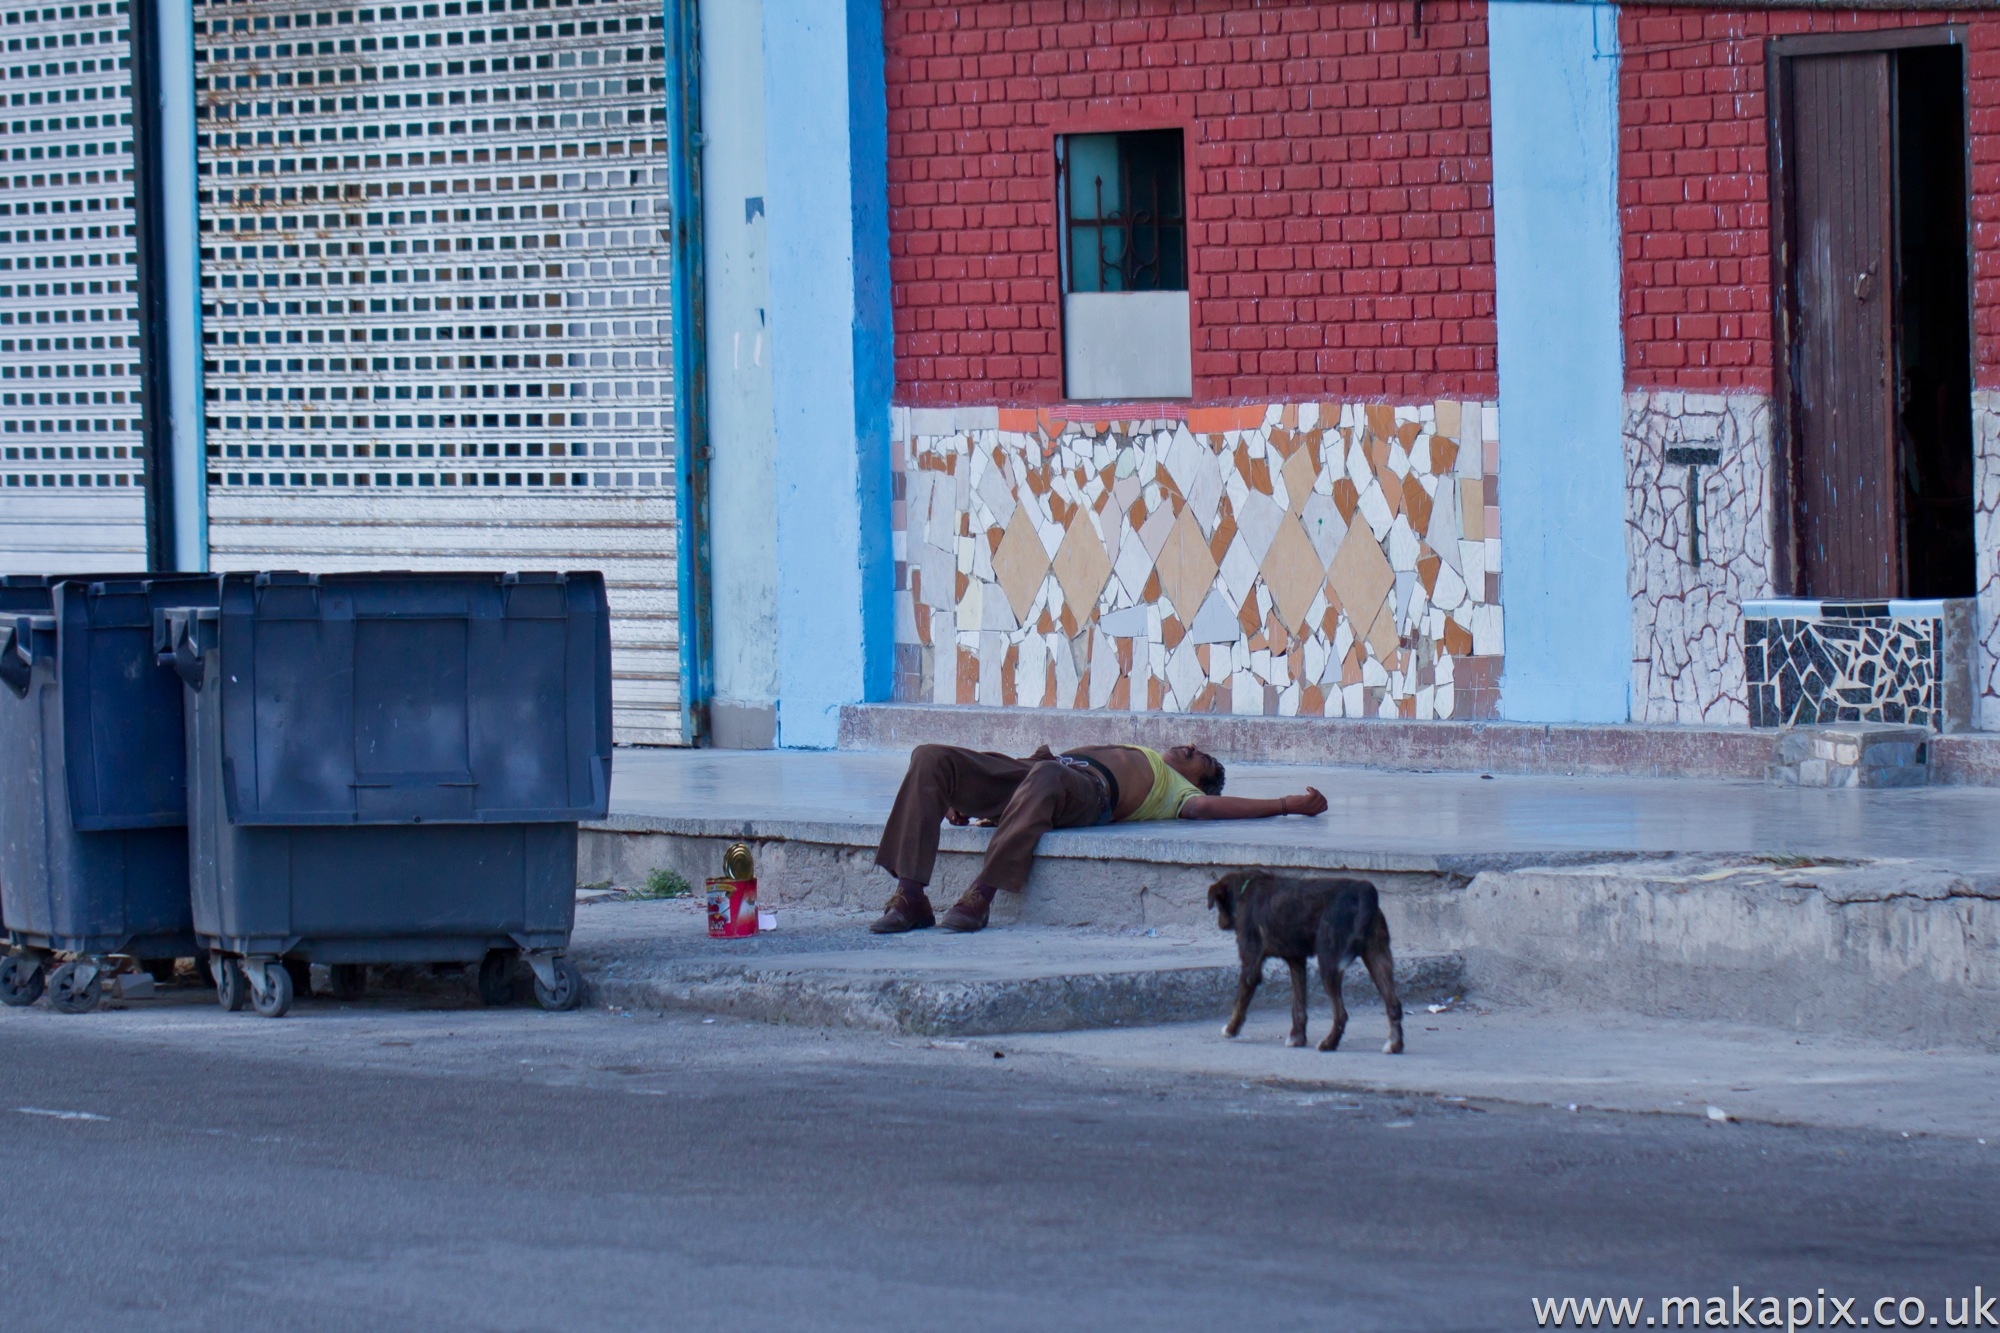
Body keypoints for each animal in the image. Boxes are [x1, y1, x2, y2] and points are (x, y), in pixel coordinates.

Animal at [1200, 868, 1408, 1056]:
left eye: (1217, 905)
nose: (1220, 923)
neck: (1244, 889)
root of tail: (1364, 891)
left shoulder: (1251, 964)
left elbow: (1240, 1002)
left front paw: (1231, 1029)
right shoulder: (1296, 961)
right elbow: (1299, 1004)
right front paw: (1297, 1037)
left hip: (1329, 962)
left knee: (1341, 1014)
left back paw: (1329, 1043)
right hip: (1378, 957)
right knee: (1394, 1004)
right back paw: (1394, 1045)